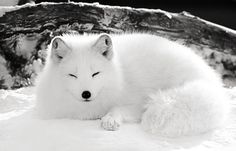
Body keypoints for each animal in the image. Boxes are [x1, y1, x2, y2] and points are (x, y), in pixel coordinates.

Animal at [36, 33, 230, 137]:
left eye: (95, 73)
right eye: (73, 75)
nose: (86, 94)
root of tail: (211, 79)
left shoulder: (139, 102)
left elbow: (118, 109)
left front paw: (110, 119)